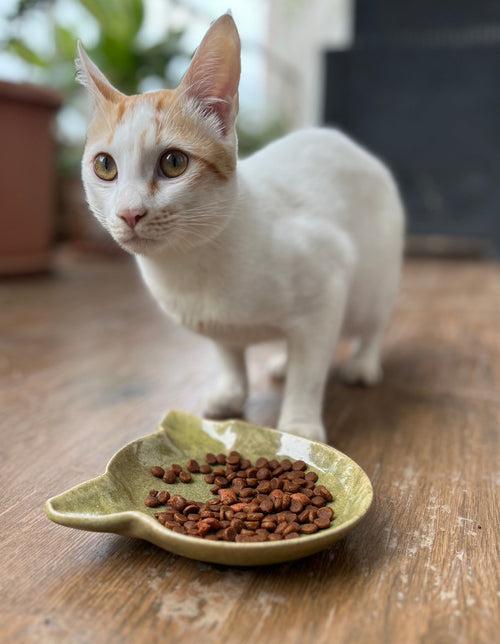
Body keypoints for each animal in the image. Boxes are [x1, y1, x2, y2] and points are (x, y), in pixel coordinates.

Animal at [78, 12, 406, 442]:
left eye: (173, 163)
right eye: (105, 166)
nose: (130, 213)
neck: (192, 265)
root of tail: (356, 148)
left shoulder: (327, 283)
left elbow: (310, 370)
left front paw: (299, 424)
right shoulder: (217, 325)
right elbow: (229, 355)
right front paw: (231, 392)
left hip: (369, 287)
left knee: (373, 325)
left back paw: (363, 364)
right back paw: (283, 359)